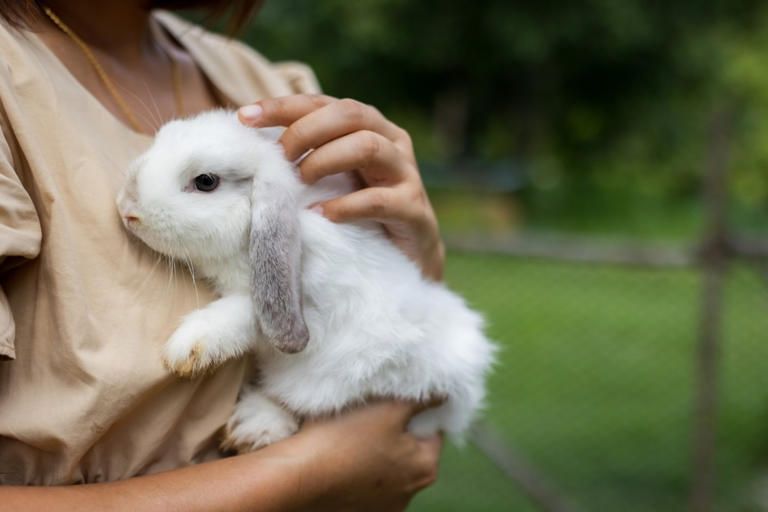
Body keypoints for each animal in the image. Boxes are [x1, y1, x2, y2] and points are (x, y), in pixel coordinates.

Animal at [116, 109, 496, 452]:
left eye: (206, 181)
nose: (127, 208)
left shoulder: (309, 300)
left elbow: (246, 311)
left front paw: (186, 348)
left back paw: (255, 425)